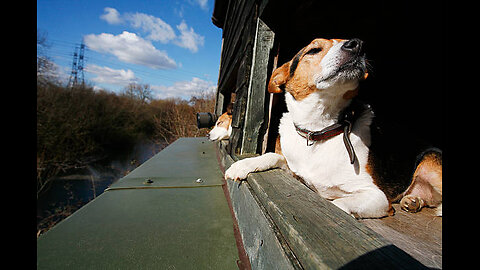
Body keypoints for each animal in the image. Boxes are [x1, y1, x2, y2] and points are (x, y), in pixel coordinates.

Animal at [225, 38, 442, 218]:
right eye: (313, 50)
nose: (357, 45)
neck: (319, 130)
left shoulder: (376, 196)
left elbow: (338, 206)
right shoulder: (297, 172)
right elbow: (272, 156)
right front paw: (242, 165)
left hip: (430, 161)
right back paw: (413, 201)